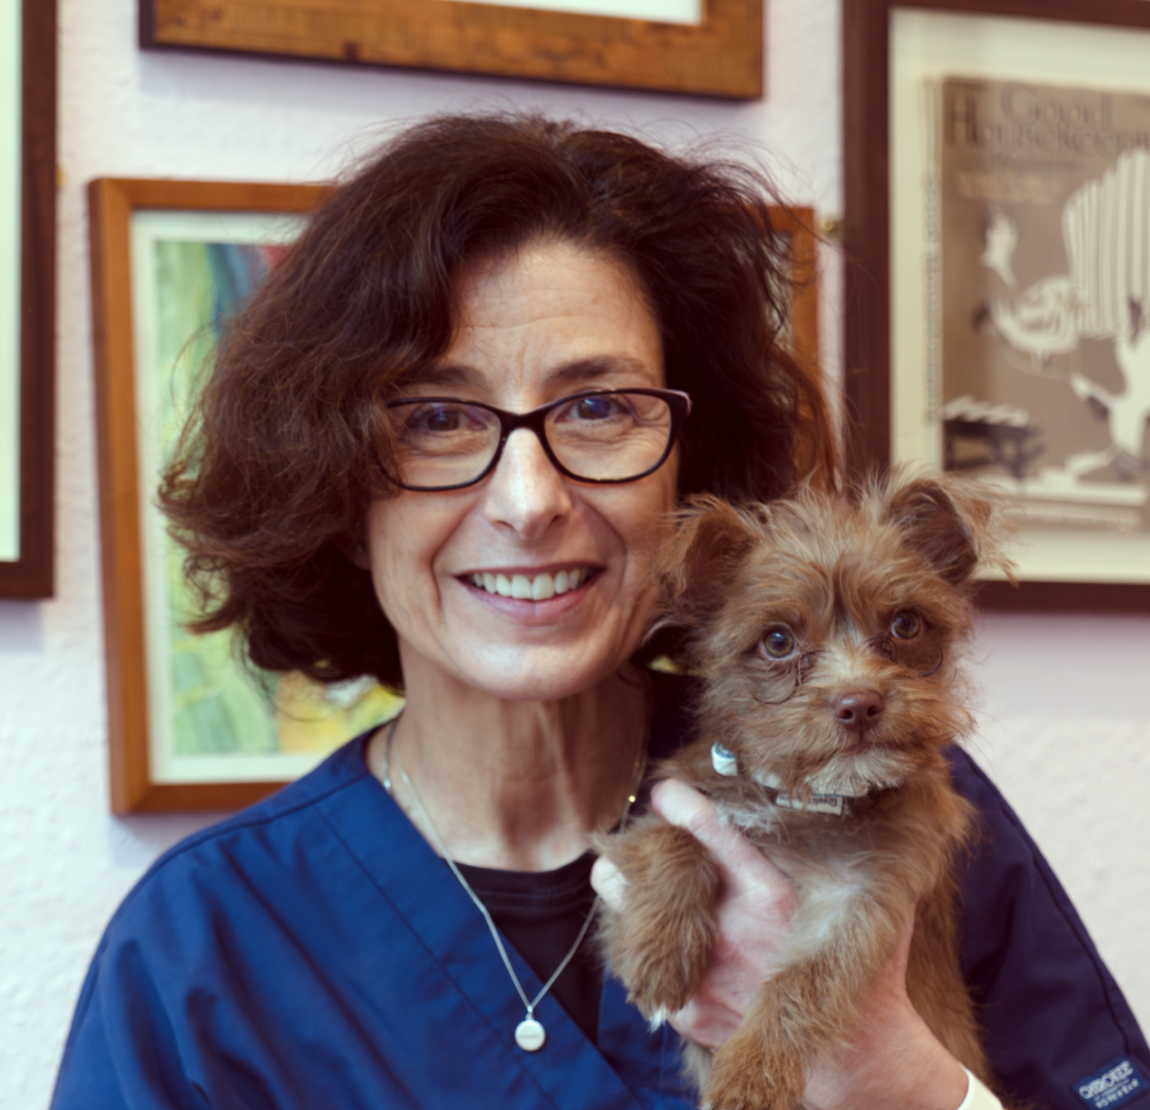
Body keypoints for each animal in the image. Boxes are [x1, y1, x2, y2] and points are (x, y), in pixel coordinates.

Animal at [595, 473, 1013, 1110]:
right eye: (777, 641)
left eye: (906, 625)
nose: (859, 702)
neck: (806, 799)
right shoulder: (675, 804)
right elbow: (673, 842)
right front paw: (660, 953)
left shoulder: (863, 896)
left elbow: (803, 982)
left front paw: (752, 1074)